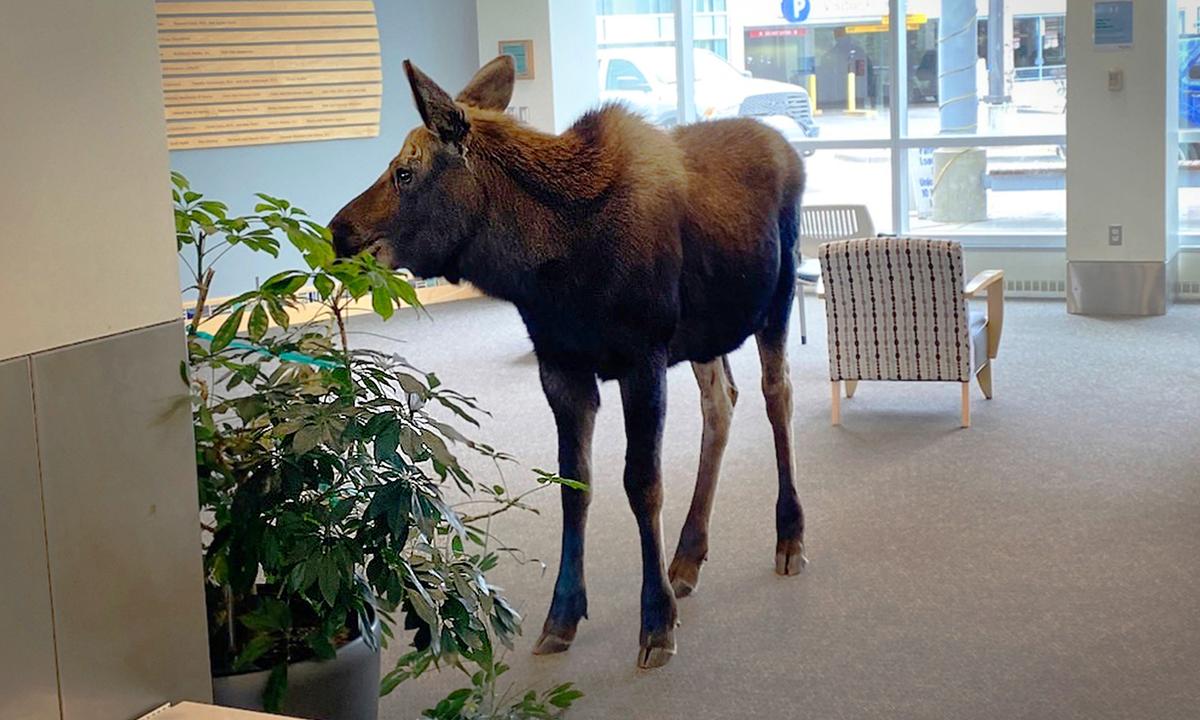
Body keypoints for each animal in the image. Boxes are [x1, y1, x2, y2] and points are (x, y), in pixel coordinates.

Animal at [329, 55, 806, 669]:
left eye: (405, 173)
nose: (338, 231)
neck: (550, 269)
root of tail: (788, 147)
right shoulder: (561, 368)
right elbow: (572, 484)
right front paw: (562, 616)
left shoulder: (643, 357)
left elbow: (642, 483)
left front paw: (656, 621)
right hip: (706, 334)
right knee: (721, 403)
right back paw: (687, 556)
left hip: (777, 295)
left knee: (777, 395)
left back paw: (789, 535)